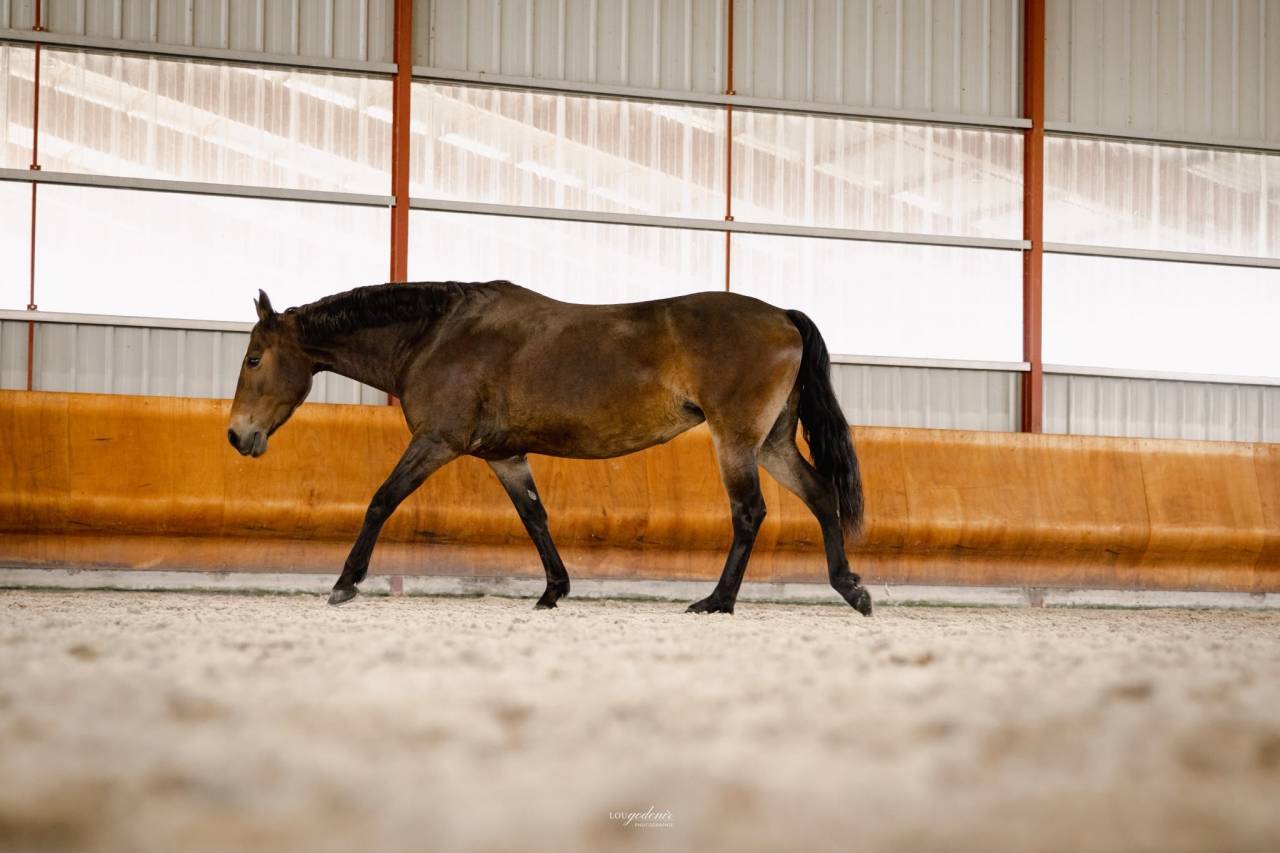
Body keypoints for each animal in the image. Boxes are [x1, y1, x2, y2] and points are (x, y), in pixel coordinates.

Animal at [226, 281, 872, 616]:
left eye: (253, 359)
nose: (237, 435)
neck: (435, 335)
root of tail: (782, 316)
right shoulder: (504, 456)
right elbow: (535, 518)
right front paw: (553, 590)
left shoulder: (436, 442)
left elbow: (381, 501)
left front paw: (345, 582)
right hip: (771, 443)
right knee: (821, 496)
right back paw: (851, 589)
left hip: (736, 440)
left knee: (749, 512)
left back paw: (717, 601)